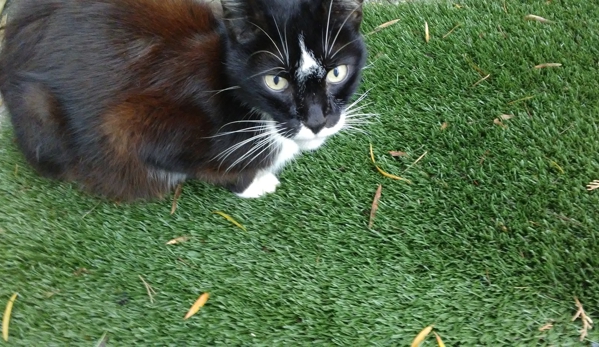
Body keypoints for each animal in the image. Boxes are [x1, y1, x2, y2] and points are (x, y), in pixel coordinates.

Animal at [0, 0, 368, 201]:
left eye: (337, 73)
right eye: (276, 81)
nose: (317, 120)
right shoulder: (127, 125)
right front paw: (254, 181)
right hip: (39, 113)